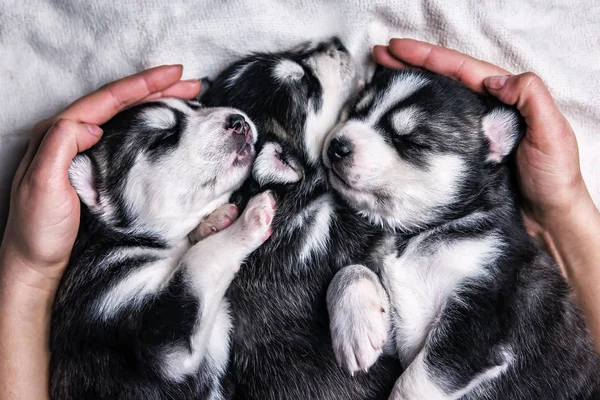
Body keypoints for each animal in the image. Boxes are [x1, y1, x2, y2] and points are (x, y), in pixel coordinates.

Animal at [49, 97, 274, 400]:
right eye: (163, 137)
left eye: (197, 105)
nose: (238, 120)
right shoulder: (157, 340)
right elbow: (198, 260)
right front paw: (248, 221)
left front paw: (215, 222)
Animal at [324, 69, 600, 400]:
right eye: (355, 111)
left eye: (410, 141)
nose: (337, 145)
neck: (422, 231)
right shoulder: (402, 329)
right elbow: (352, 270)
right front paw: (357, 330)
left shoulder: (480, 314)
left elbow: (416, 381)